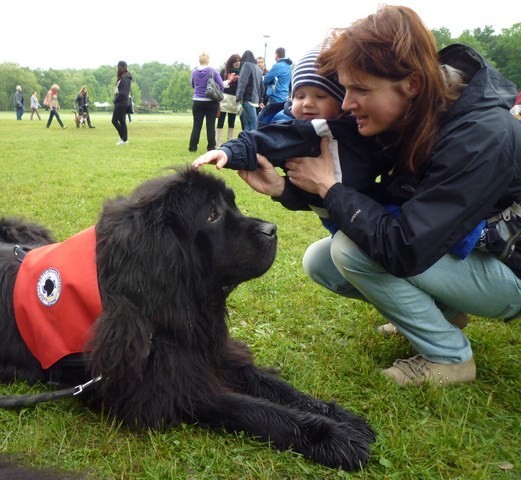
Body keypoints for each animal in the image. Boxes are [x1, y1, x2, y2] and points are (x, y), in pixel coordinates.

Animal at [0, 168, 376, 468]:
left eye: (231, 205)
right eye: (211, 215)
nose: (272, 229)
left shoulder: (209, 349)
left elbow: (271, 385)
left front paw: (336, 414)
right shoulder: (166, 387)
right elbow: (251, 408)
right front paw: (331, 436)